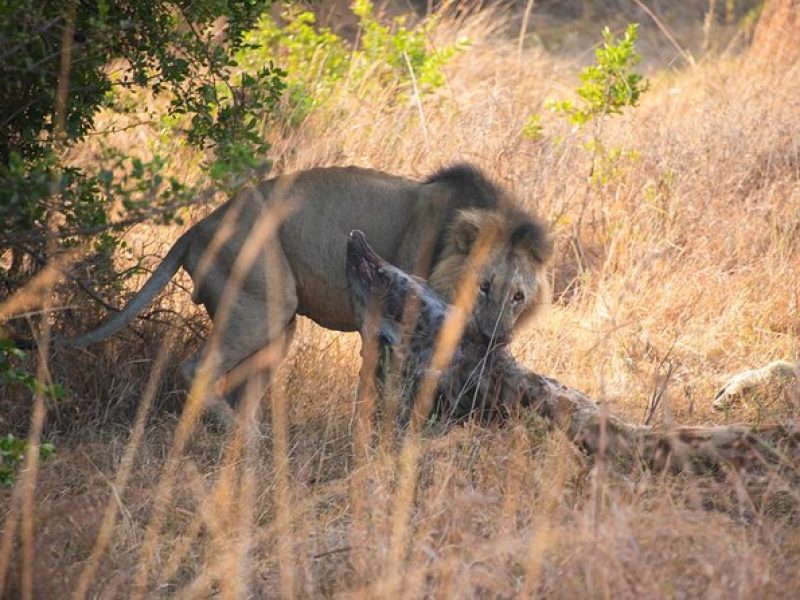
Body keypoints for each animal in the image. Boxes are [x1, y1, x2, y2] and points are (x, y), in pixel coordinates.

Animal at [70, 162, 552, 420]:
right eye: (484, 287)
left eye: (518, 296)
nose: (495, 337)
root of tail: (198, 227)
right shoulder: (381, 321)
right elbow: (379, 390)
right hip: (263, 297)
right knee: (198, 371)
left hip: (275, 322)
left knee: (244, 388)